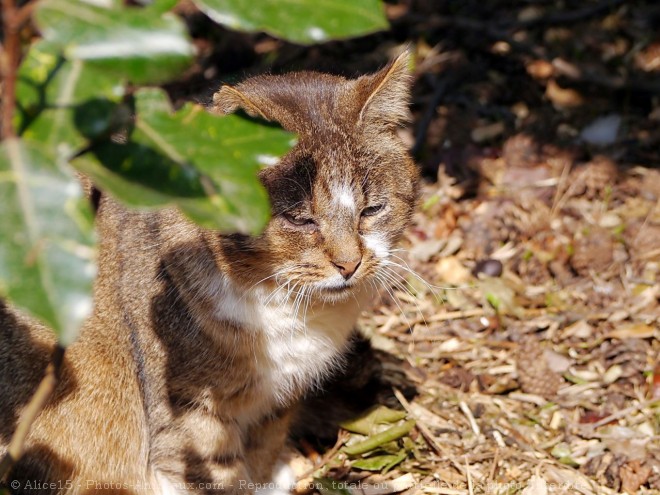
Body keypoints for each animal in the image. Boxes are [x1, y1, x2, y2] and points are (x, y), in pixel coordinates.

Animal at [0, 52, 420, 494]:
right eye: (300, 219)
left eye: (372, 209)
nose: (349, 264)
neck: (281, 302)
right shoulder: (188, 409)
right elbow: (214, 473)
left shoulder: (277, 399)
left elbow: (266, 439)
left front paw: (266, 478)